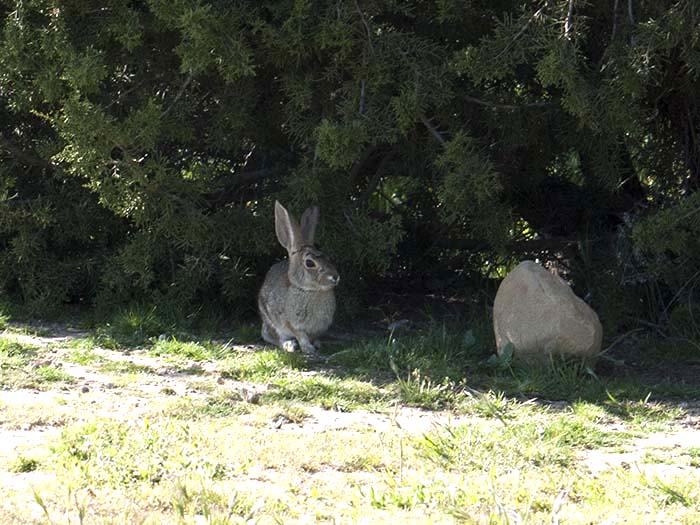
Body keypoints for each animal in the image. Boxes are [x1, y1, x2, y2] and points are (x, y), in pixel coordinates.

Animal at [258, 201, 340, 355]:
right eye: (309, 263)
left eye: (327, 257)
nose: (335, 277)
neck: (310, 291)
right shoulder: (291, 323)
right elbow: (301, 336)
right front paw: (308, 349)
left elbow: (314, 336)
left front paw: (317, 344)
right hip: (270, 320)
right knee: (274, 336)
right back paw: (289, 345)